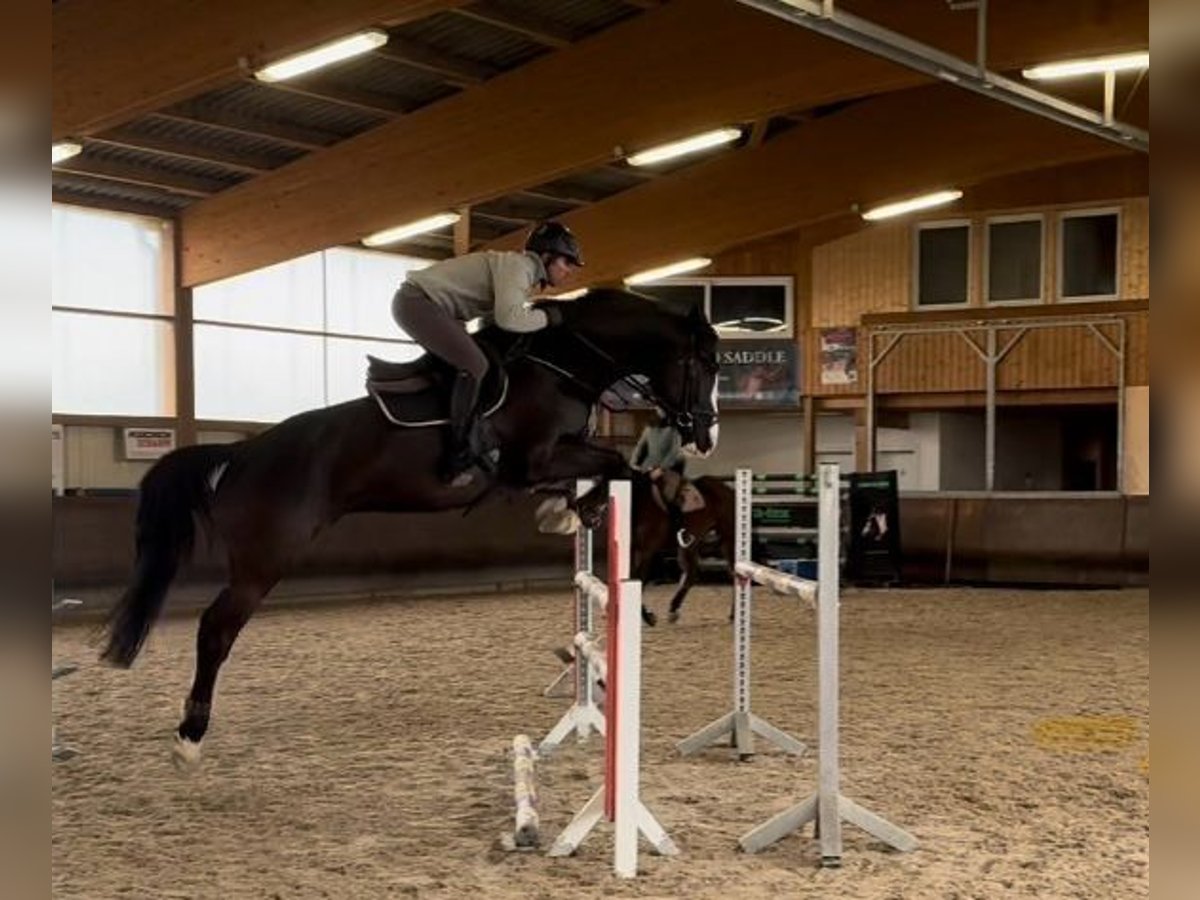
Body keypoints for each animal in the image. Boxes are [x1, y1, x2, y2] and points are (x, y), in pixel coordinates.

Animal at [103, 290, 715, 768]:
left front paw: (568, 510)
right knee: (216, 630)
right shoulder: (532, 461)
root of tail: (243, 453)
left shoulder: (549, 460)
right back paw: (189, 737)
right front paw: (580, 510)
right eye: (702, 364)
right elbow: (620, 465)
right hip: (264, 562)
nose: (704, 436)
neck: (560, 364)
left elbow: (609, 466)